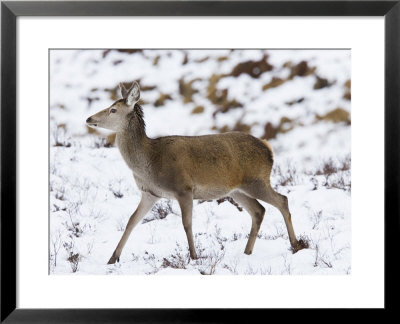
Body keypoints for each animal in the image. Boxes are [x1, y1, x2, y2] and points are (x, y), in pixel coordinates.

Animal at [86, 80, 308, 264]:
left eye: (113, 110)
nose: (89, 118)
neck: (150, 164)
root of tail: (268, 148)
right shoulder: (150, 193)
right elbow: (131, 221)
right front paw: (112, 258)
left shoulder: (183, 188)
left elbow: (187, 224)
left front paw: (194, 256)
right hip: (237, 190)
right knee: (258, 210)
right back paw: (247, 252)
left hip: (257, 181)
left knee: (282, 200)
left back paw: (295, 245)